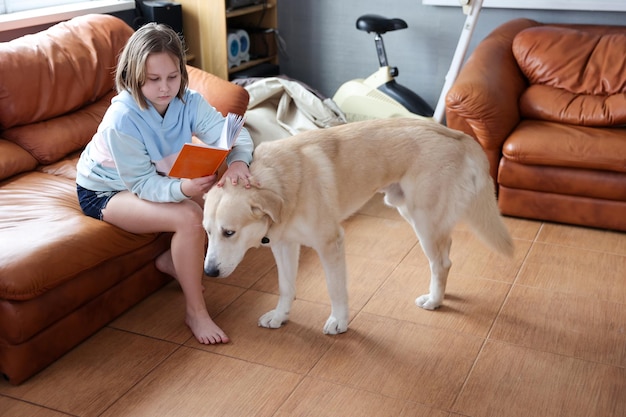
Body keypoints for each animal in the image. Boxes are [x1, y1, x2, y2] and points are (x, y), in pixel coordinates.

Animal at [201, 117, 512, 334]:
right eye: (207, 232)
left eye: (229, 232)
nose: (209, 273)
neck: (283, 181)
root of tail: (458, 135)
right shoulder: (284, 245)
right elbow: (286, 287)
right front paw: (280, 316)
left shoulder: (330, 244)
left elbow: (335, 289)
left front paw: (339, 321)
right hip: (416, 214)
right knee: (445, 253)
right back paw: (441, 293)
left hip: (423, 219)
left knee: (441, 263)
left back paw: (435, 300)